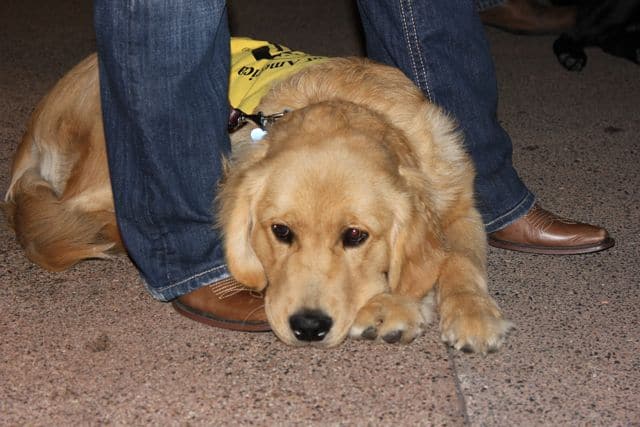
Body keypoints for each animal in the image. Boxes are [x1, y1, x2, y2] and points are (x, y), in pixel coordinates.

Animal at [5, 50, 512, 352]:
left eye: (356, 236)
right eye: (281, 231)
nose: (308, 327)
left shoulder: (459, 202)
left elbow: (460, 259)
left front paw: (471, 312)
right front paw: (395, 305)